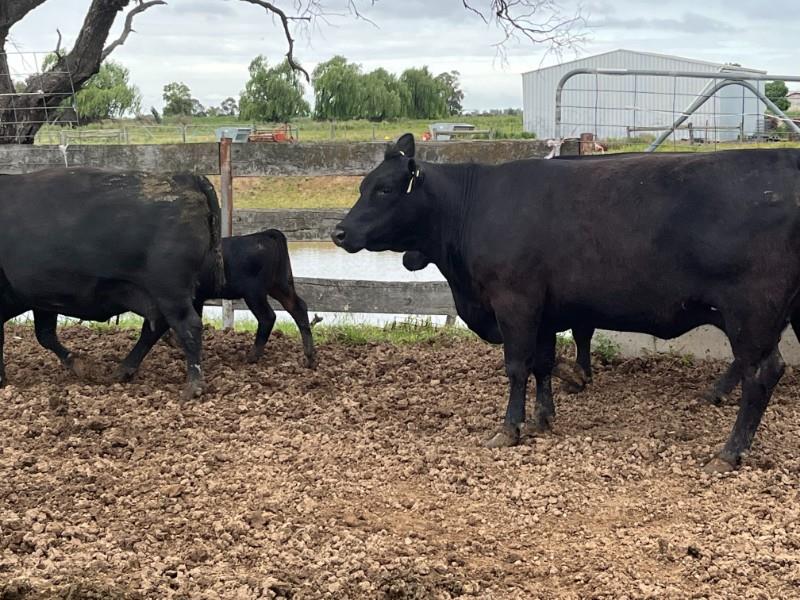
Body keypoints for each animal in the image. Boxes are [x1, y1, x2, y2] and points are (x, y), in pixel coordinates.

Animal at [0, 167, 224, 398]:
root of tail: (187, 177)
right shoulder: (43, 299)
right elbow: (45, 335)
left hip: (170, 291)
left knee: (188, 326)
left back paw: (193, 387)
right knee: (155, 328)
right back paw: (123, 371)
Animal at [332, 133, 800, 472]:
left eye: (385, 189)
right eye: (363, 185)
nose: (339, 232)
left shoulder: (514, 301)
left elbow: (517, 366)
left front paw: (510, 428)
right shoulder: (544, 309)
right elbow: (542, 363)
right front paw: (544, 416)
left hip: (751, 313)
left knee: (762, 373)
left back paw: (729, 452)